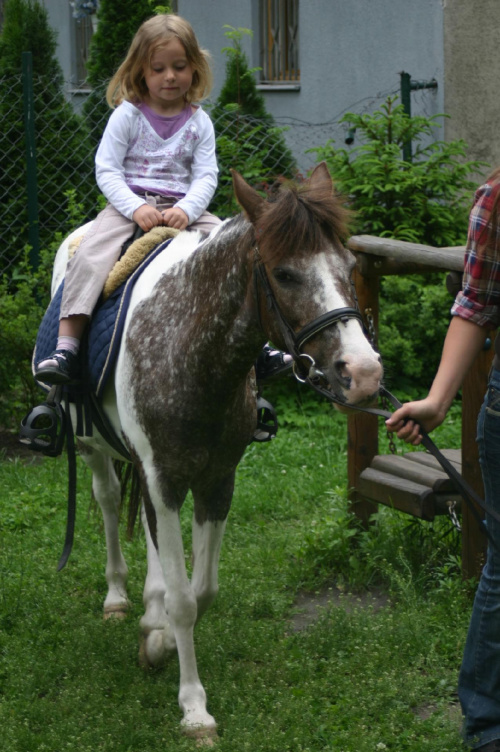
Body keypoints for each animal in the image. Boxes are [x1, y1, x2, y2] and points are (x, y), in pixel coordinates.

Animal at [47, 164, 382, 740]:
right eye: (284, 274)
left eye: (350, 265)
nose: (363, 372)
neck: (191, 349)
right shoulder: (163, 476)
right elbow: (185, 600)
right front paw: (193, 707)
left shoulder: (217, 478)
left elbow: (201, 591)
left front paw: (156, 639)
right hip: (92, 446)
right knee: (109, 501)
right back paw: (117, 597)